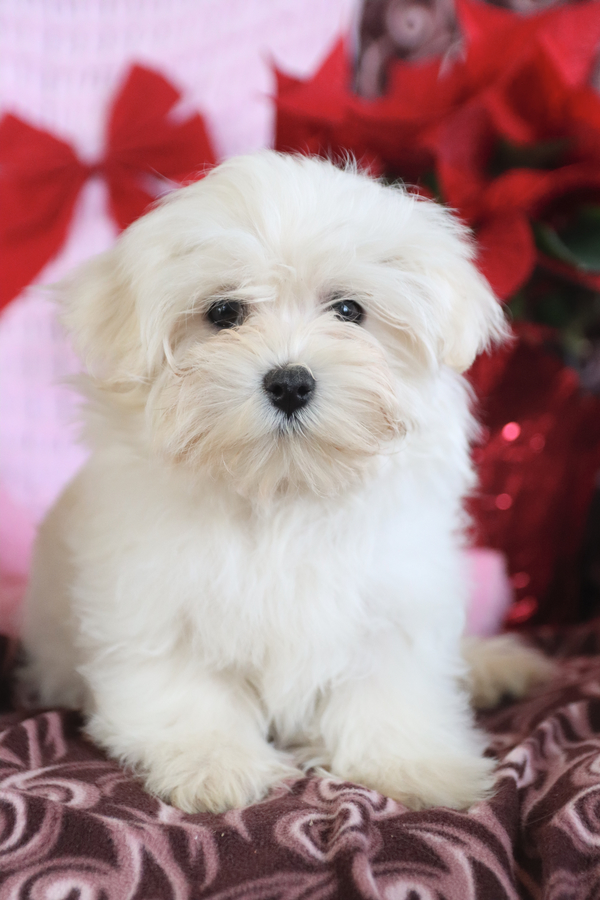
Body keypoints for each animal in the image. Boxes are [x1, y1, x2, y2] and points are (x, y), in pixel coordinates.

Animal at [18, 151, 552, 812]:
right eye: (224, 313)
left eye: (349, 311)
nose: (291, 382)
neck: (282, 492)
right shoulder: (154, 603)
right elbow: (185, 692)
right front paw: (214, 765)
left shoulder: (393, 597)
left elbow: (389, 689)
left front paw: (414, 766)